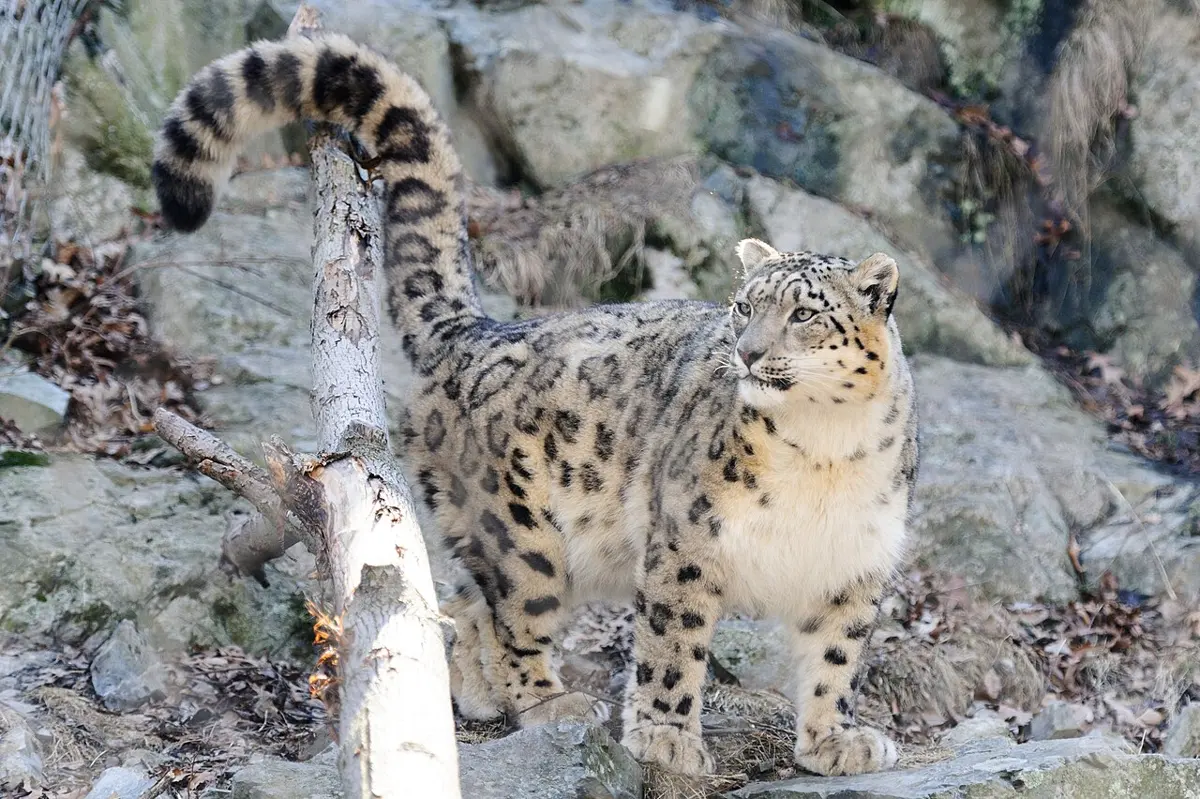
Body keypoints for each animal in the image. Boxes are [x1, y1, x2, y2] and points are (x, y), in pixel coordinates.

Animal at [151, 33, 918, 779]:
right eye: (743, 306)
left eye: (804, 314)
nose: (750, 352)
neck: (822, 450)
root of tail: (477, 330)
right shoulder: (686, 543)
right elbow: (673, 647)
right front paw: (667, 738)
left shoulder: (855, 565)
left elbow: (837, 659)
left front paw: (835, 740)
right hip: (524, 533)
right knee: (514, 613)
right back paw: (550, 702)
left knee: (465, 602)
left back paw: (478, 690)